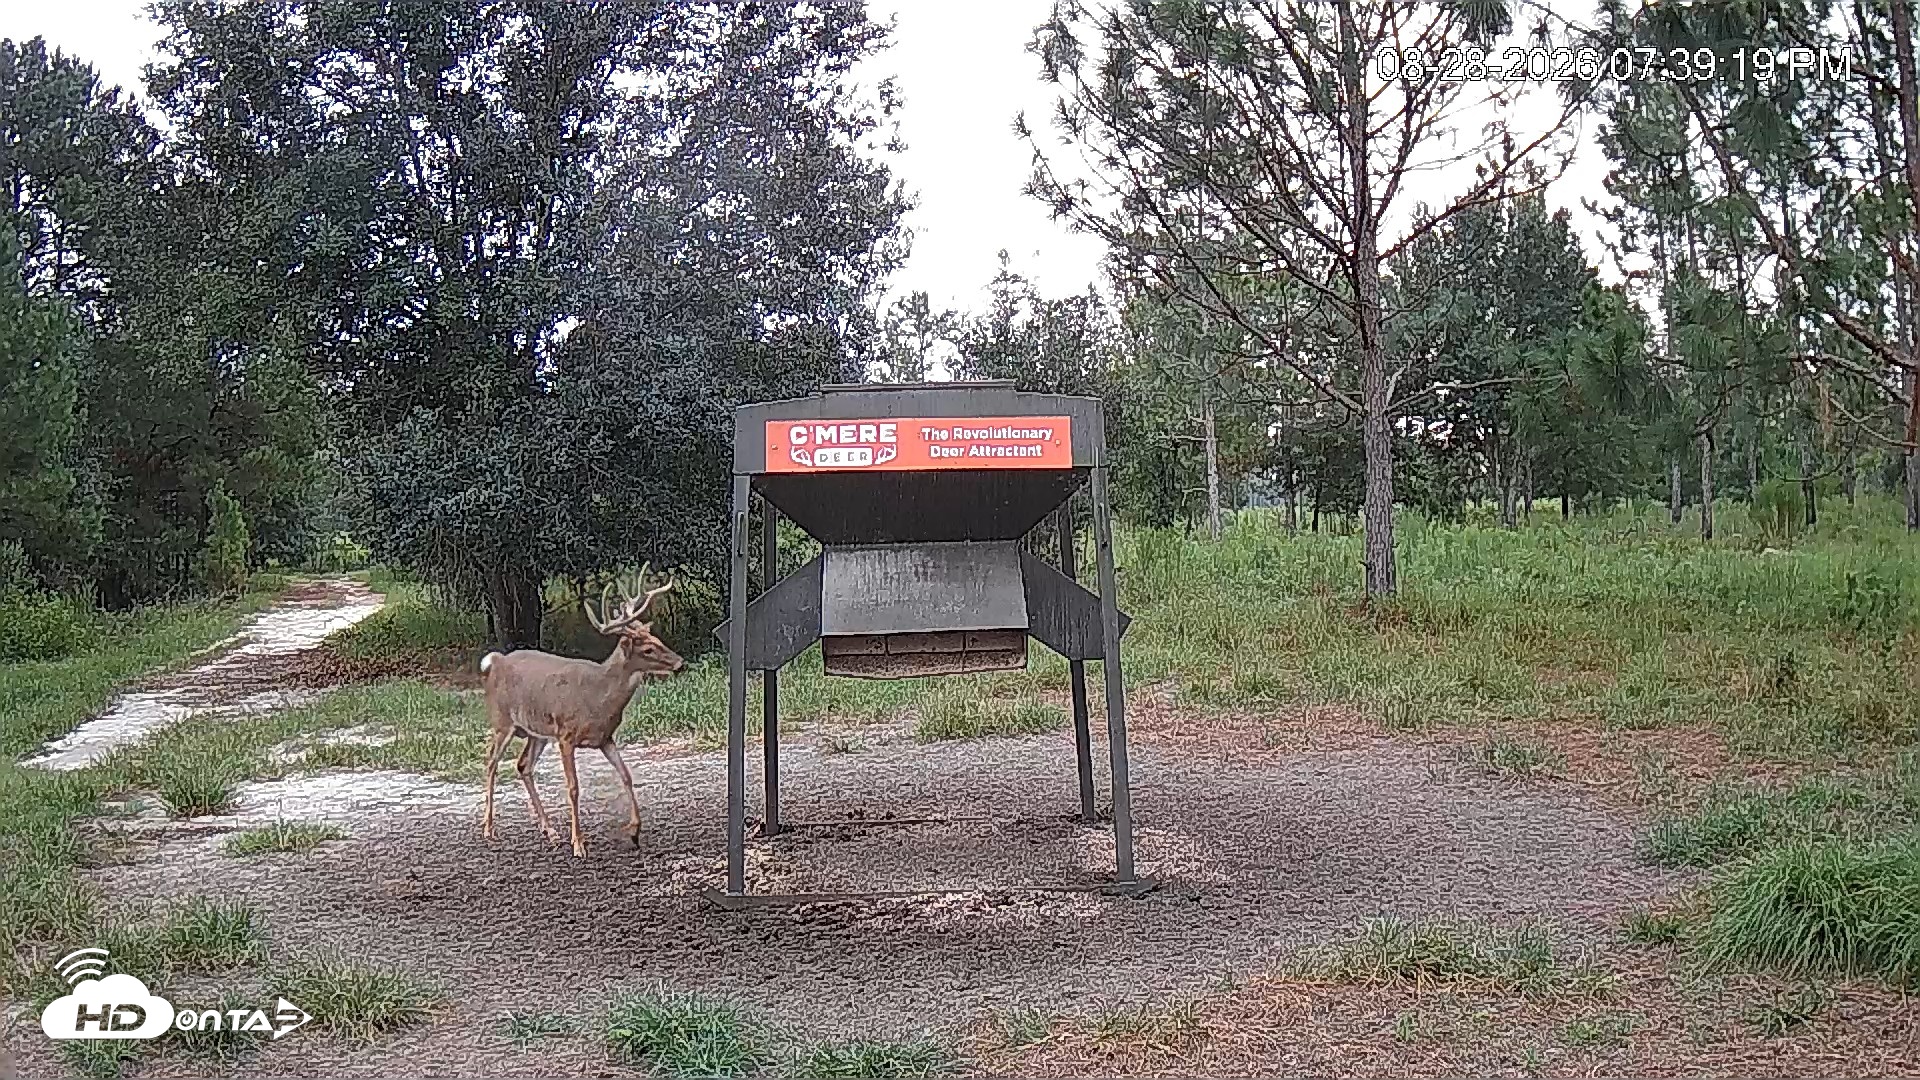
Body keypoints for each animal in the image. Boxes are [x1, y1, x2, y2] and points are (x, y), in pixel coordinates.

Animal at [478, 570, 685, 858]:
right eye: (647, 649)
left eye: (657, 640)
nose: (679, 663)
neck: (597, 697)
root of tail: (496, 661)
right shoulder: (566, 735)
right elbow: (573, 787)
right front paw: (578, 843)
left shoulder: (605, 737)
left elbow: (626, 775)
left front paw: (634, 831)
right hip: (503, 721)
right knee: (491, 763)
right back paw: (488, 829)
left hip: (537, 732)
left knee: (523, 765)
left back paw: (549, 830)